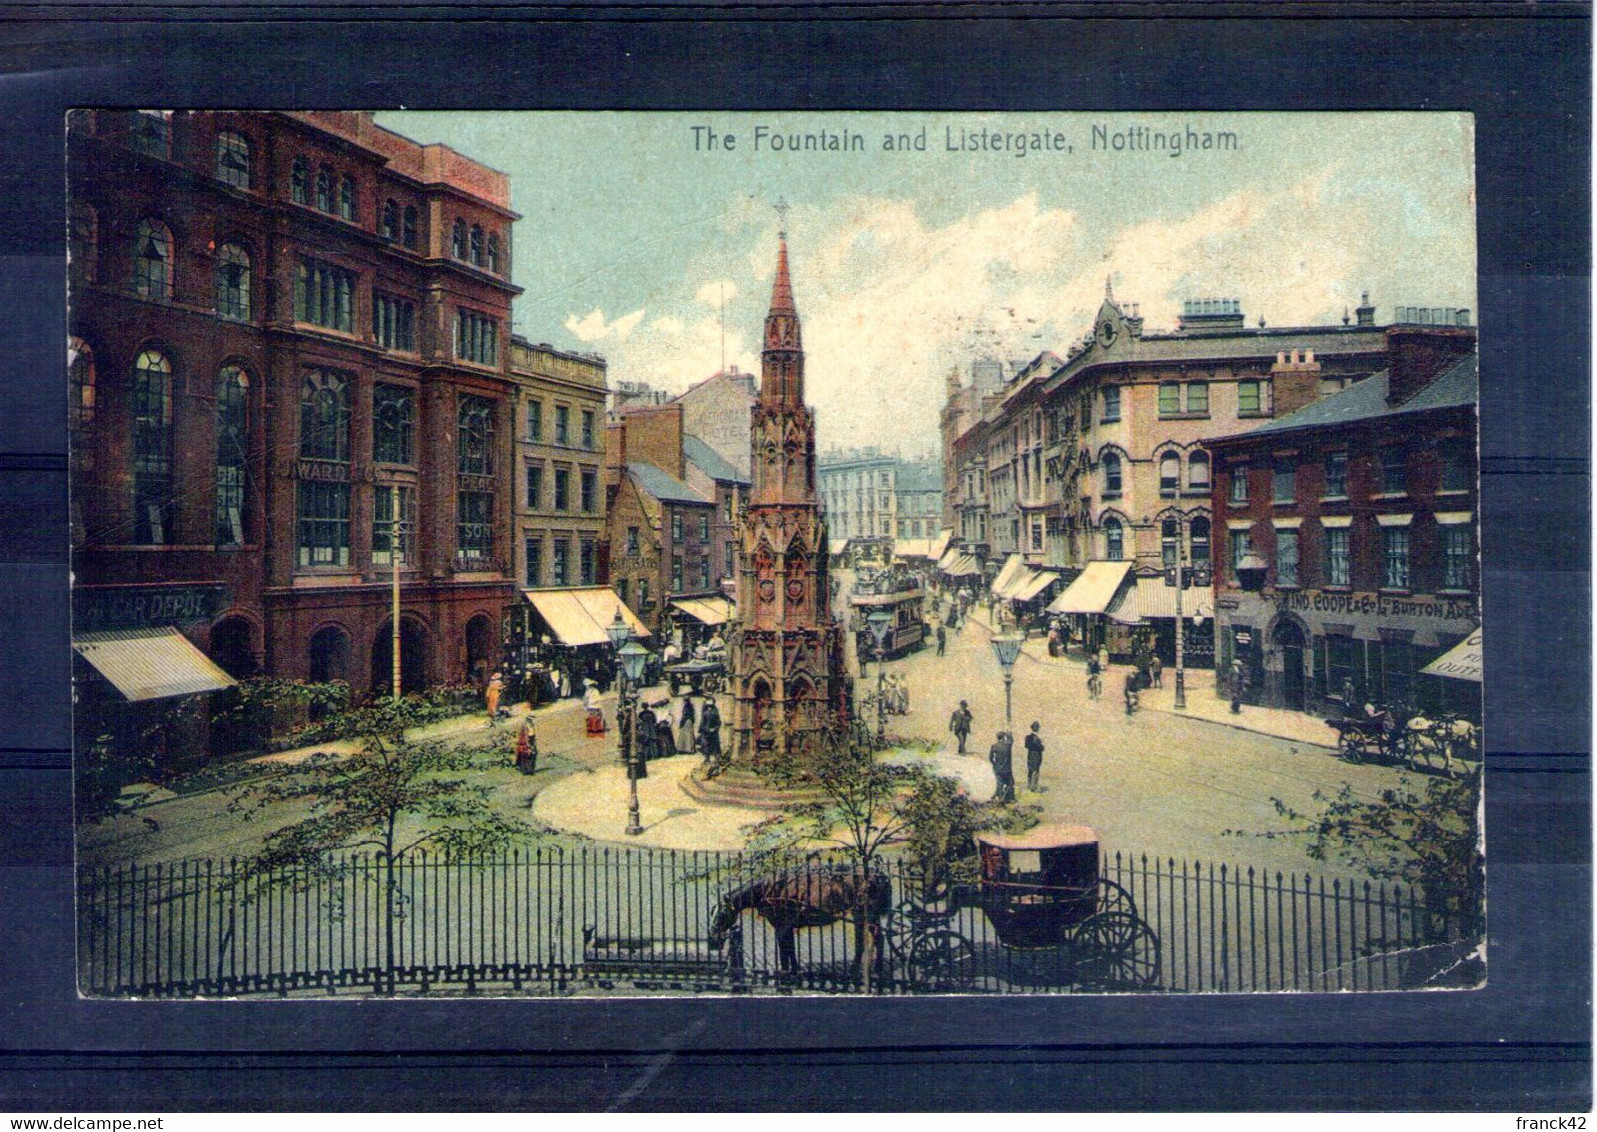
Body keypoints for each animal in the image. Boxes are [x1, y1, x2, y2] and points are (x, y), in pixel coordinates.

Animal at [705, 868, 894, 970]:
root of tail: (880, 876)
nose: (713, 937)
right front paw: (794, 970)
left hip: (867, 913)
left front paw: (787, 973)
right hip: (860, 915)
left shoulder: (782, 926)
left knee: (878, 937)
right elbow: (790, 949)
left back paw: (876, 968)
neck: (770, 891)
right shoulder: (786, 927)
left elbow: (785, 950)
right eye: (712, 911)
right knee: (865, 940)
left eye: (722, 913)